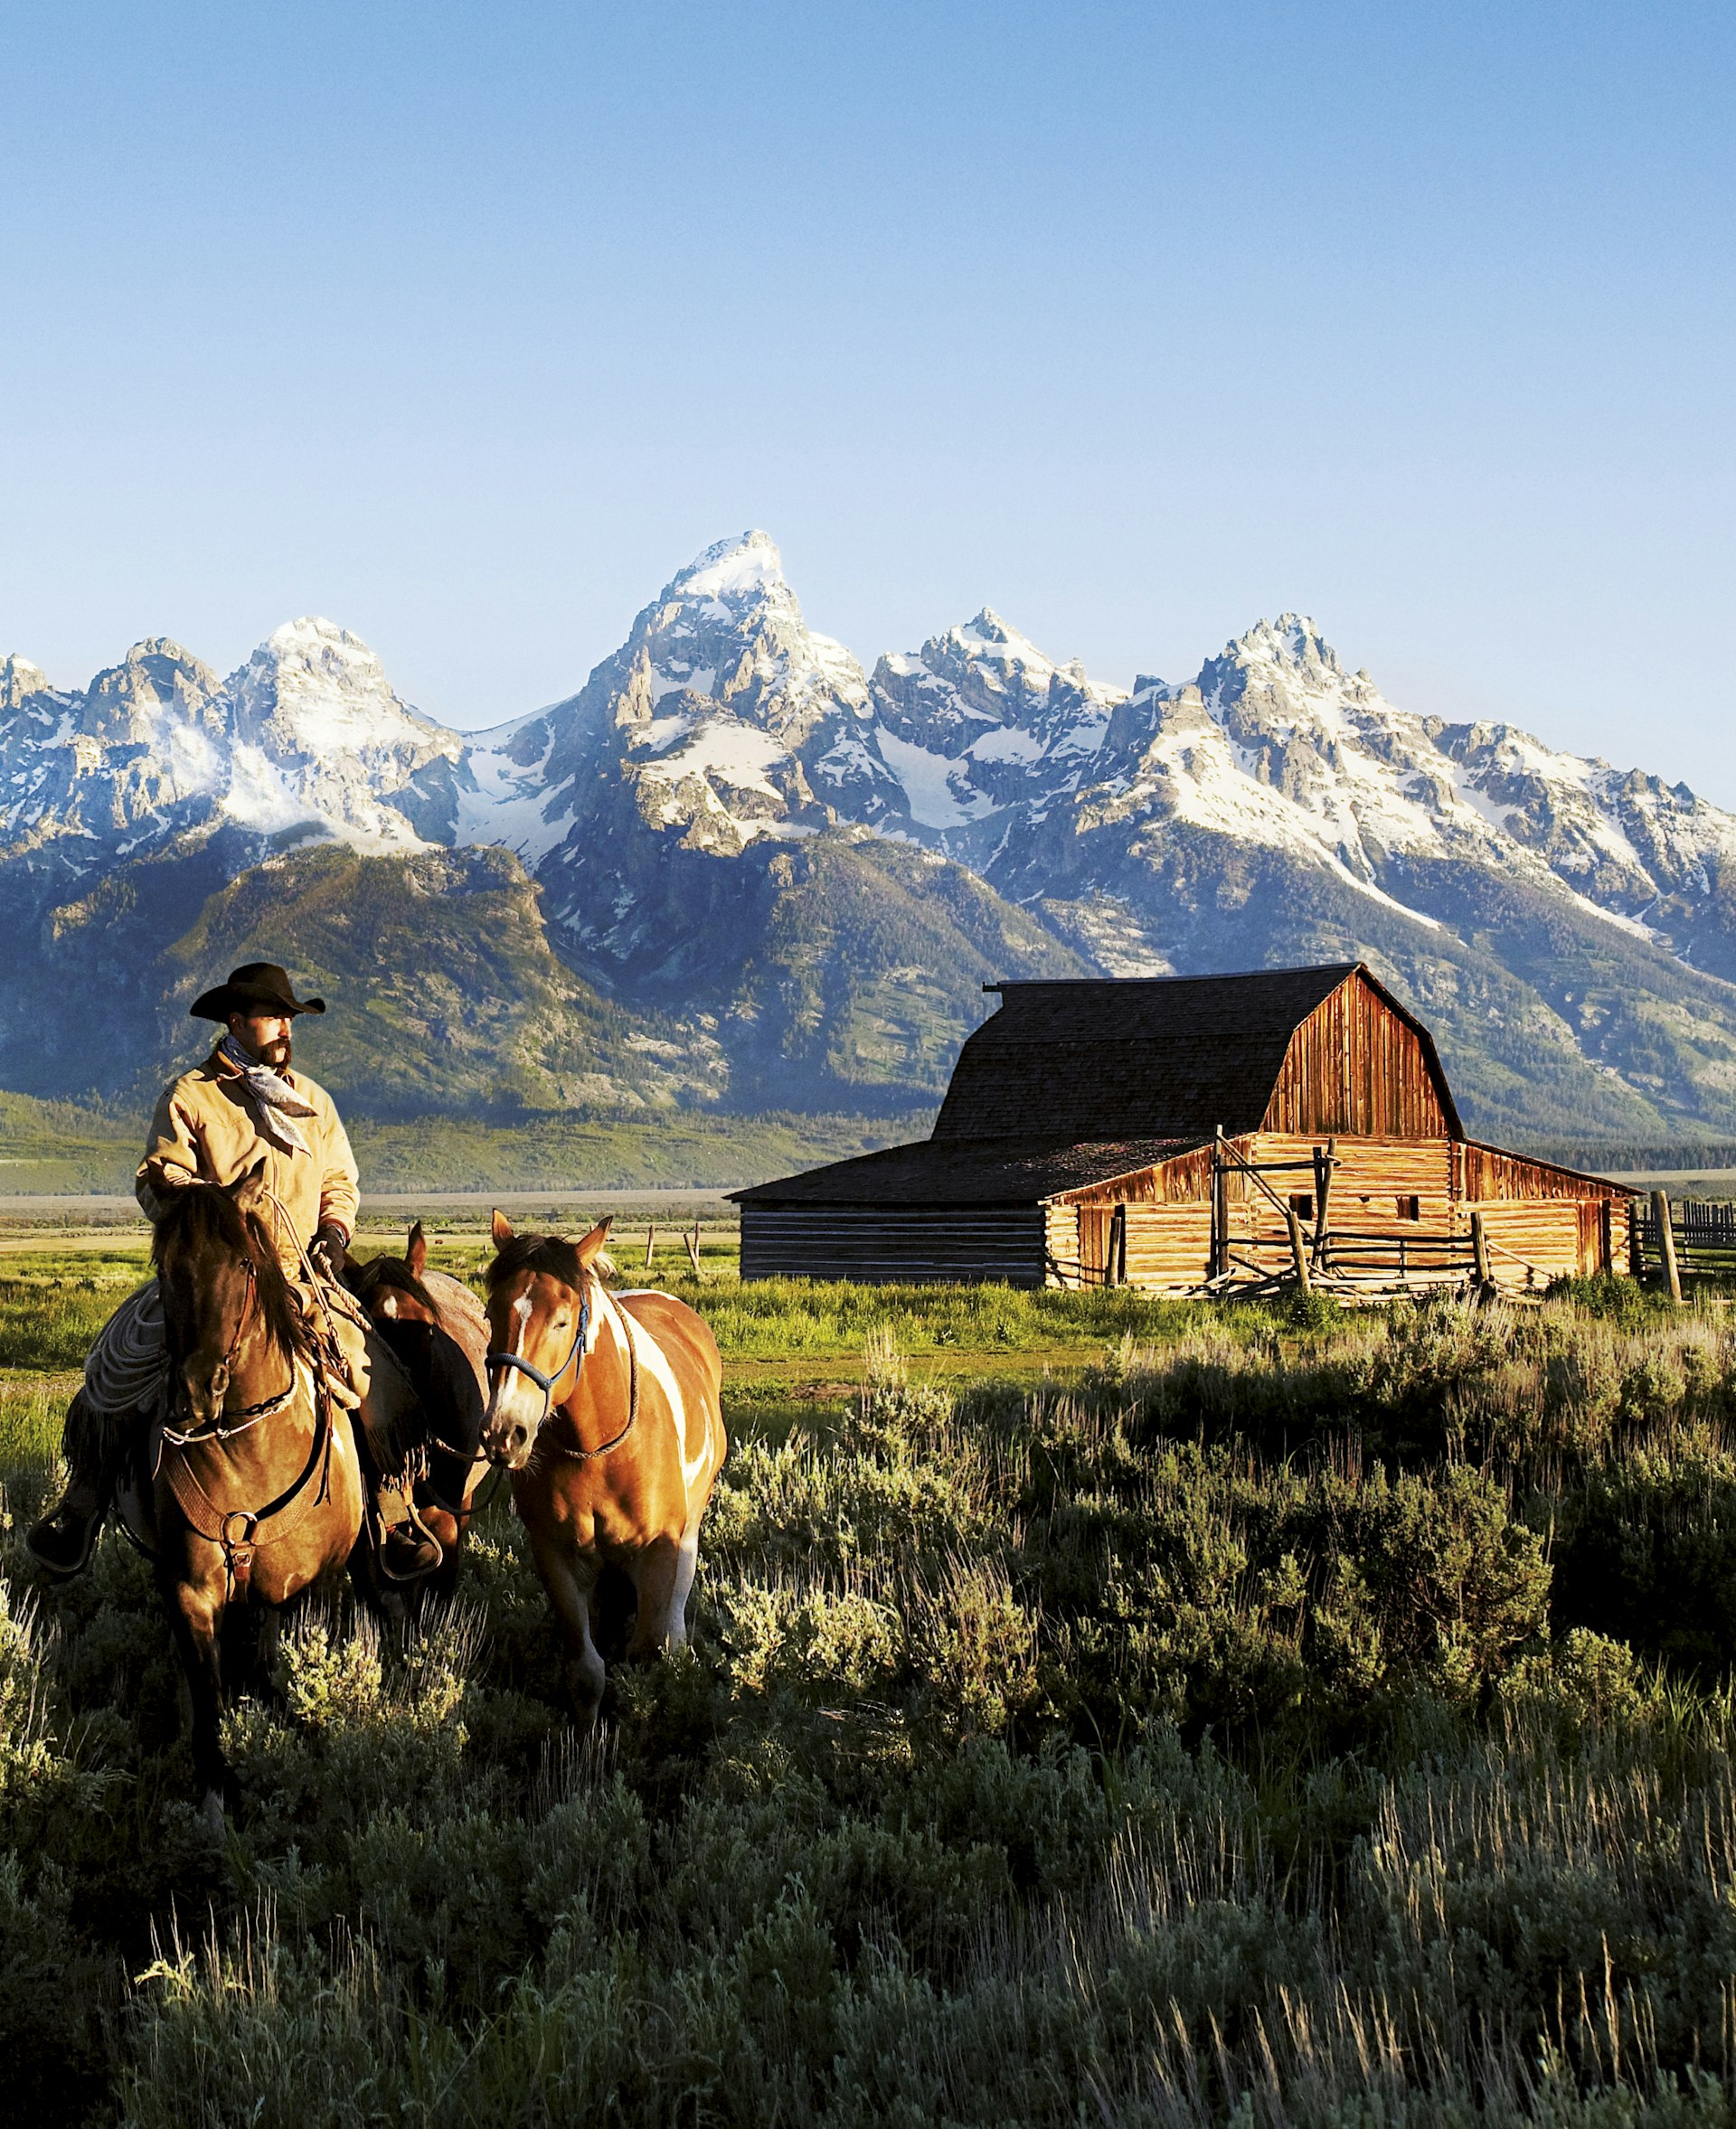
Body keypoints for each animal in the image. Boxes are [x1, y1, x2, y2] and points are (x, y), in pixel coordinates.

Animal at [479, 1218, 728, 1711]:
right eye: (491, 1315)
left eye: (562, 1320)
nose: (504, 1432)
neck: (600, 1452)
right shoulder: (556, 1557)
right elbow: (587, 1673)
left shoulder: (659, 1553)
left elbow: (647, 1652)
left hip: (690, 1528)